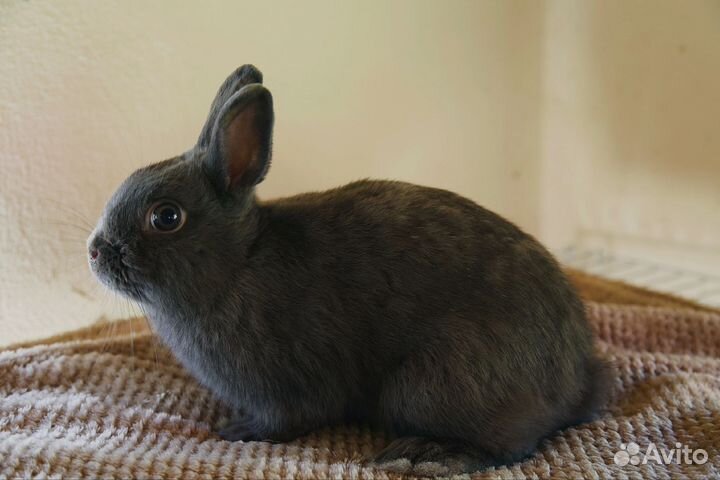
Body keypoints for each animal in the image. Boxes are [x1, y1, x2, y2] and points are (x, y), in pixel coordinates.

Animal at [88, 64, 610, 476]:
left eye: (166, 217)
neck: (239, 262)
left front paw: (236, 430)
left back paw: (423, 455)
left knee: (511, 445)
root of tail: (576, 384)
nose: (94, 252)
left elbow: (285, 420)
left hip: (429, 383)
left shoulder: (286, 384)